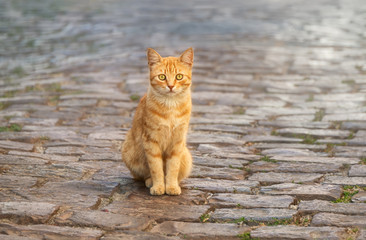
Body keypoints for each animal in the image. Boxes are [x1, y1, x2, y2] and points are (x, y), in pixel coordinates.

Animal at [121, 47, 194, 195]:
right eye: (162, 77)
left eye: (179, 76)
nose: (171, 86)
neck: (171, 106)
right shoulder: (151, 140)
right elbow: (156, 168)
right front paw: (159, 186)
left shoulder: (177, 141)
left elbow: (173, 167)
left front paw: (171, 186)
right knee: (142, 175)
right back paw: (150, 181)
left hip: (186, 156)